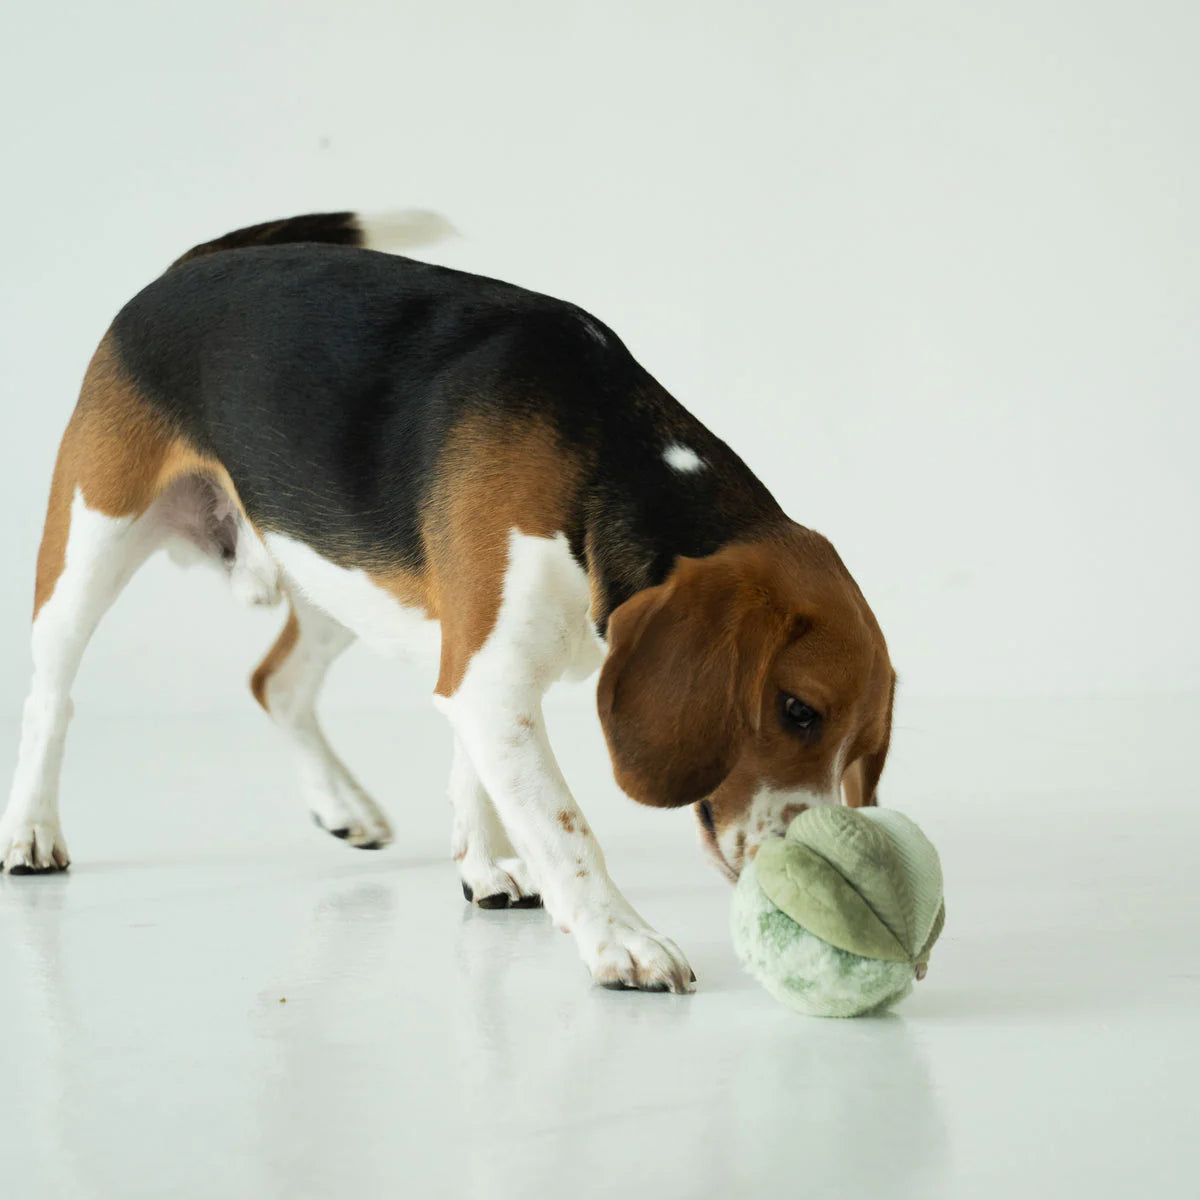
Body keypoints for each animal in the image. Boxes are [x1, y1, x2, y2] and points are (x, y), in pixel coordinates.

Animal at [0, 213, 897, 993]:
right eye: (797, 710)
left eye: (862, 754)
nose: (812, 861)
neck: (606, 467)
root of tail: (187, 265)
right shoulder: (492, 680)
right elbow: (565, 824)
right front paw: (621, 938)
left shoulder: (478, 670)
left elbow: (481, 779)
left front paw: (485, 867)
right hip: (92, 539)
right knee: (52, 695)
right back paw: (32, 832)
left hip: (341, 571)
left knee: (276, 682)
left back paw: (344, 806)